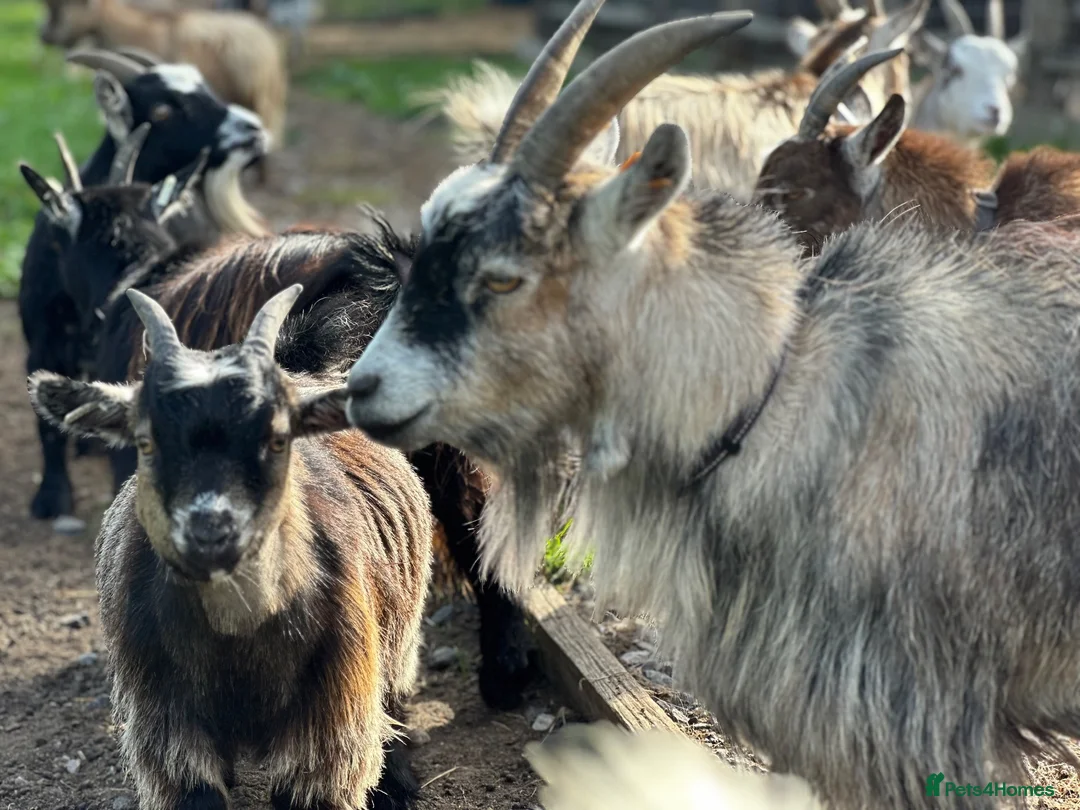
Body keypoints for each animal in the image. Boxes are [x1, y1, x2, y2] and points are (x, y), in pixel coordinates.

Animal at [20, 48, 269, 522]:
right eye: (163, 110)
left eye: (209, 87)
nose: (255, 130)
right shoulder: (41, 341)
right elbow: (45, 424)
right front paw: (50, 498)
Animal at [28, 285, 431, 810]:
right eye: (146, 441)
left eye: (278, 438)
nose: (210, 531)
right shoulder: (165, 719)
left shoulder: (330, 715)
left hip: (397, 637)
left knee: (394, 694)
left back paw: (397, 782)